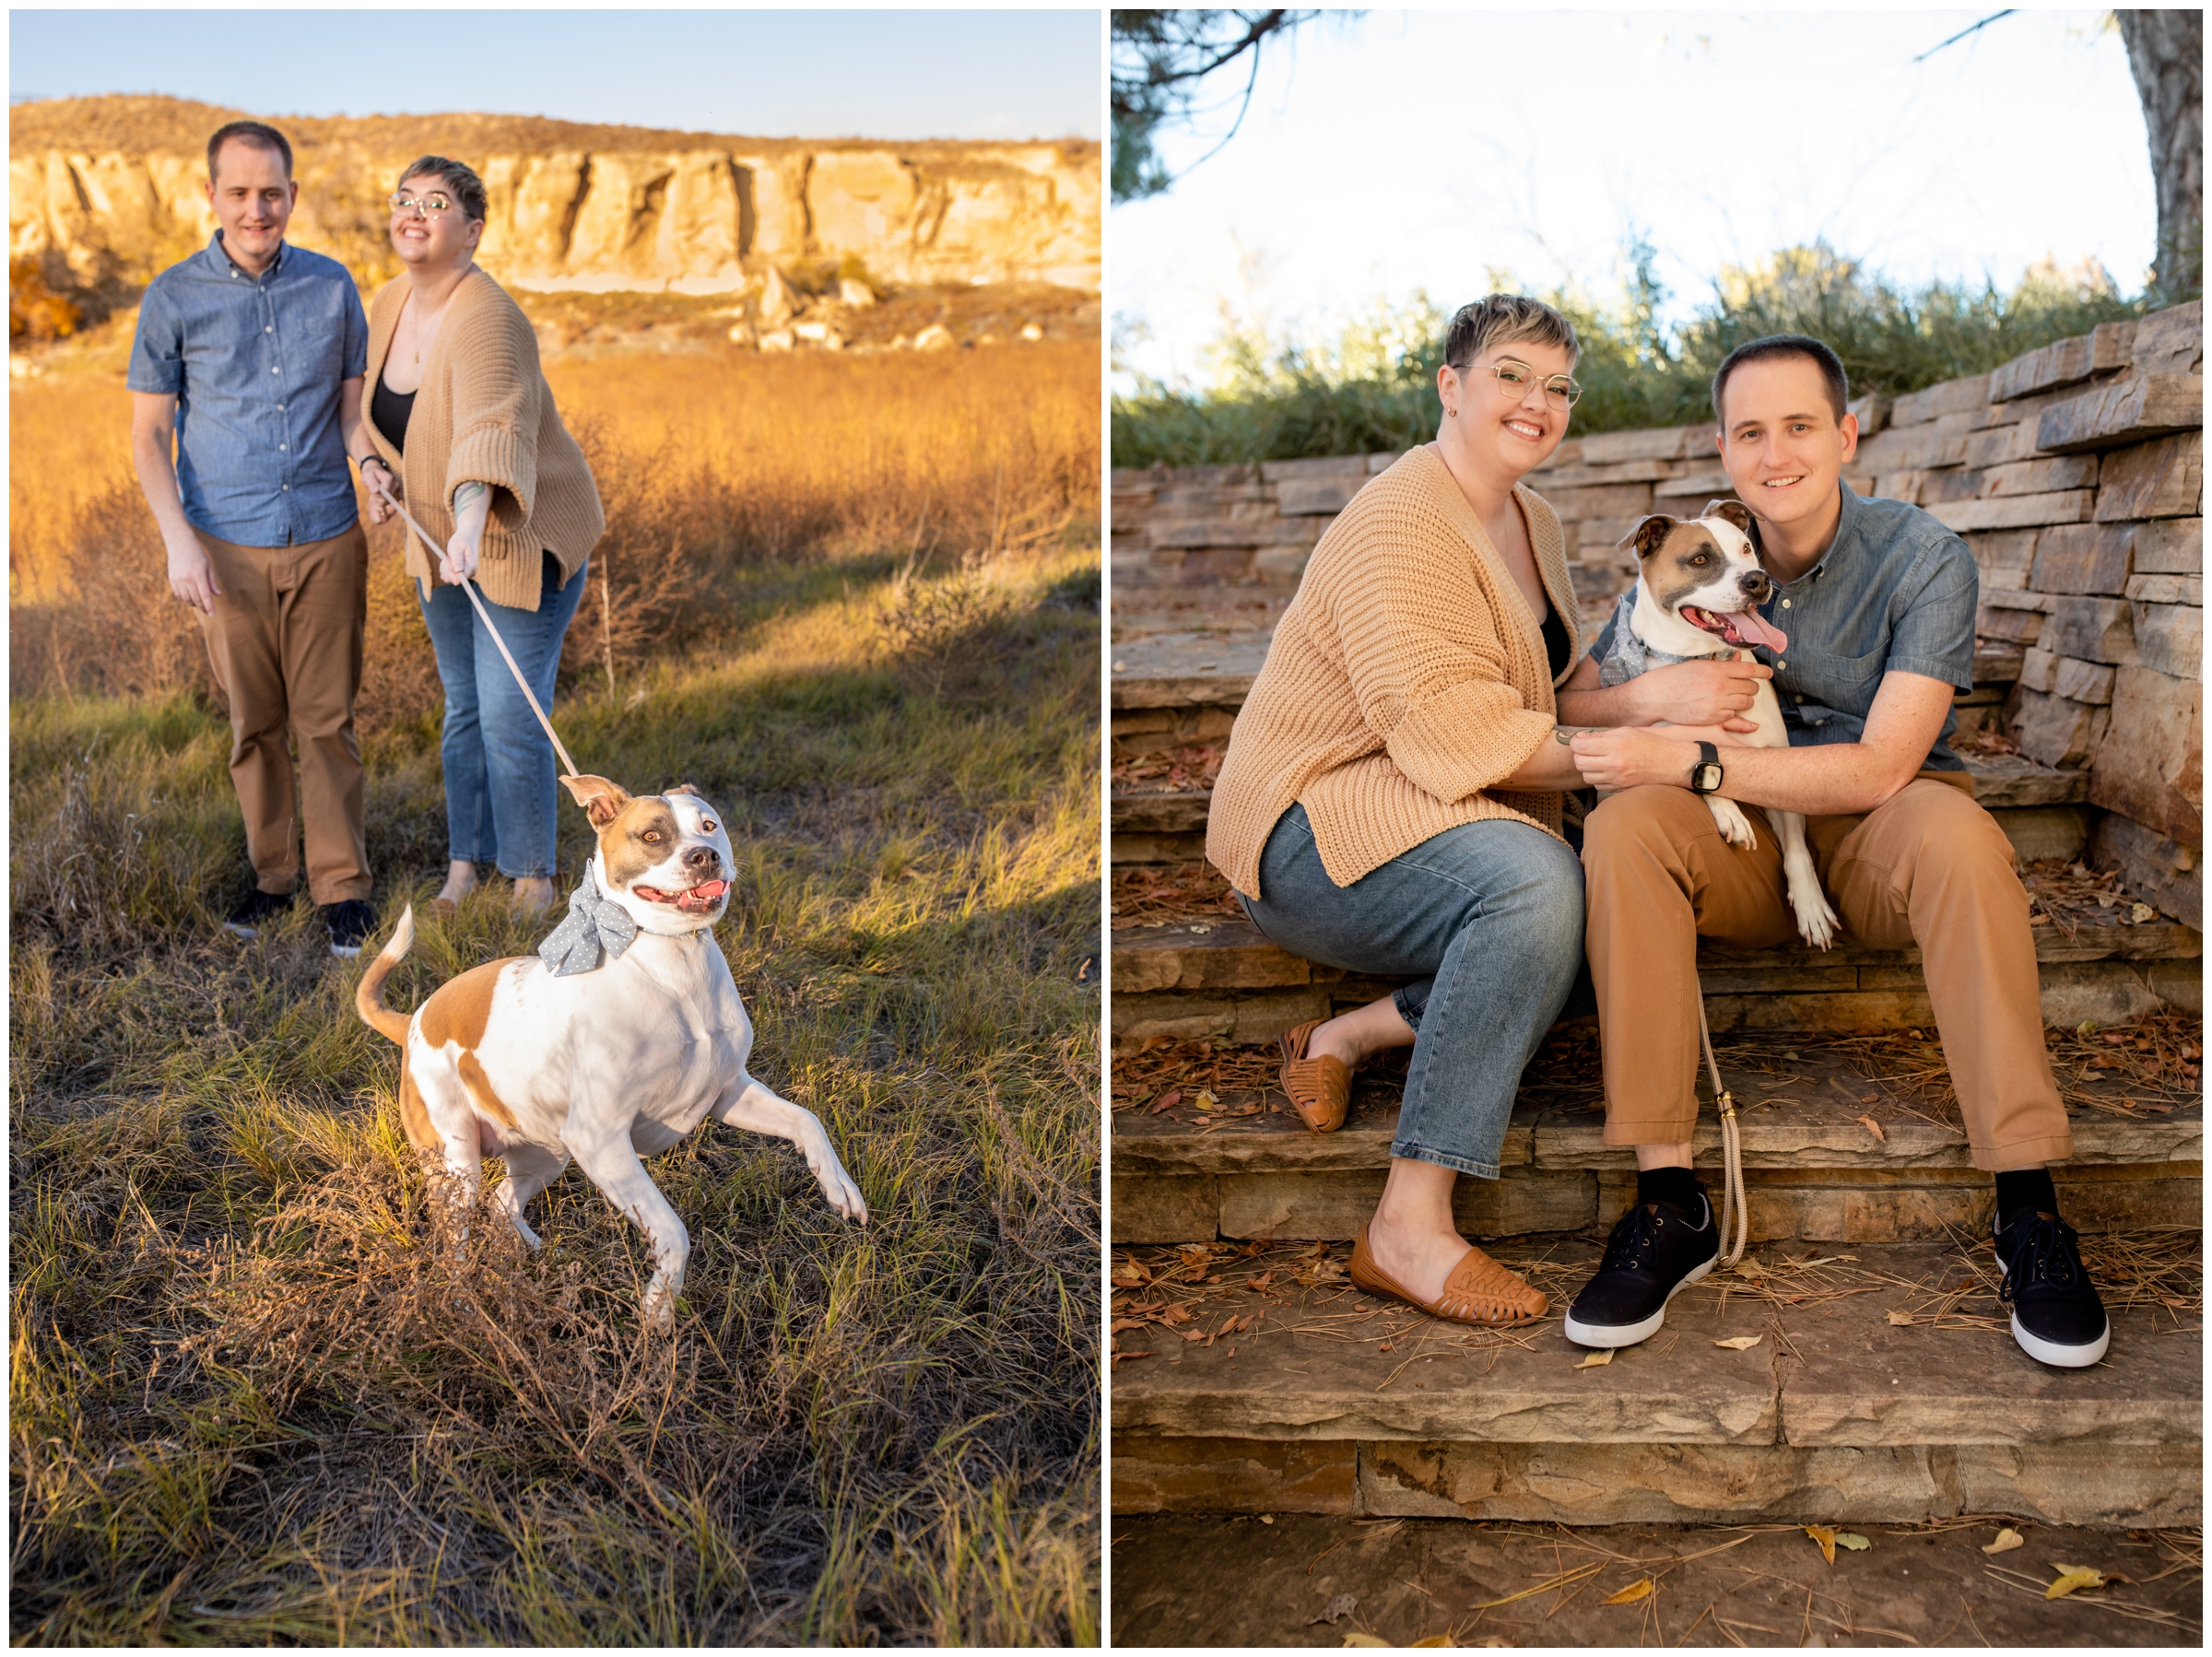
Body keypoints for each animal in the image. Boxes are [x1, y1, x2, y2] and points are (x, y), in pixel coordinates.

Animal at [354, 770, 863, 1327]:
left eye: (710, 825)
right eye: (652, 836)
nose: (704, 856)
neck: (673, 961)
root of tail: (415, 1019)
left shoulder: (728, 1092)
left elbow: (806, 1120)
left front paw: (839, 1187)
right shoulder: (603, 1140)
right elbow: (673, 1230)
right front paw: (659, 1307)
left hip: (545, 1154)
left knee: (503, 1201)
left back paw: (539, 1253)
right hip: (456, 1163)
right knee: (455, 1244)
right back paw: (465, 1304)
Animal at [1601, 498, 1840, 951]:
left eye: (1746, 548)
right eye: (1700, 559)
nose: (1757, 580)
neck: (1707, 660)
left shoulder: (1780, 773)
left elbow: (1797, 850)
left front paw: (1811, 904)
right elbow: (1698, 764)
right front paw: (1727, 809)